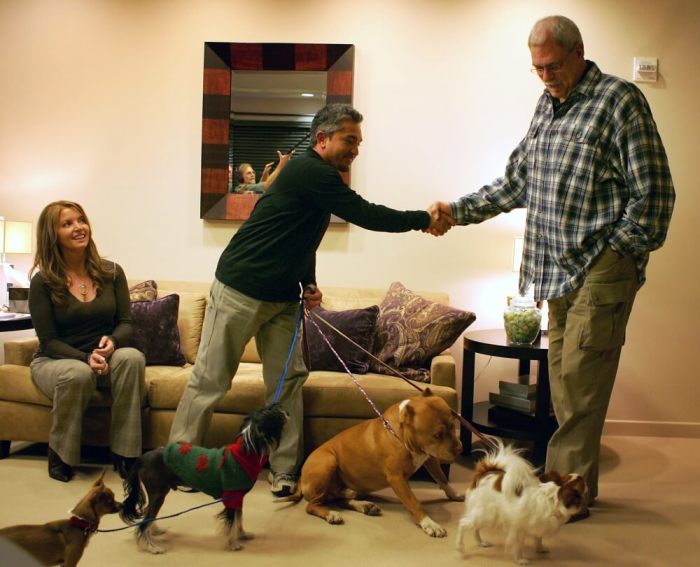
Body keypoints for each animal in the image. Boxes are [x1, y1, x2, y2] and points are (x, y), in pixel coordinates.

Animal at [278, 390, 464, 536]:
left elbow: (442, 479)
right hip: (328, 462)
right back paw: (332, 514)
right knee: (312, 505)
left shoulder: (430, 458)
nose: (460, 449)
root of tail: (301, 477)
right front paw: (429, 523)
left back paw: (364, 506)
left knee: (339, 499)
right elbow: (413, 502)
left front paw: (454, 495)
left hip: (345, 486)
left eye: (453, 425)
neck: (400, 434)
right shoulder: (397, 479)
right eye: (437, 435)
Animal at [454, 442, 584, 564]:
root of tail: (484, 475)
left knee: (475, 528)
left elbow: (538, 538)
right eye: (582, 487)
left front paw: (540, 549)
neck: (551, 499)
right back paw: (460, 546)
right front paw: (520, 560)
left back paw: (481, 542)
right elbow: (518, 546)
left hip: (487, 517)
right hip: (487, 515)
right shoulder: (518, 529)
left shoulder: (538, 525)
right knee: (463, 523)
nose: (581, 475)